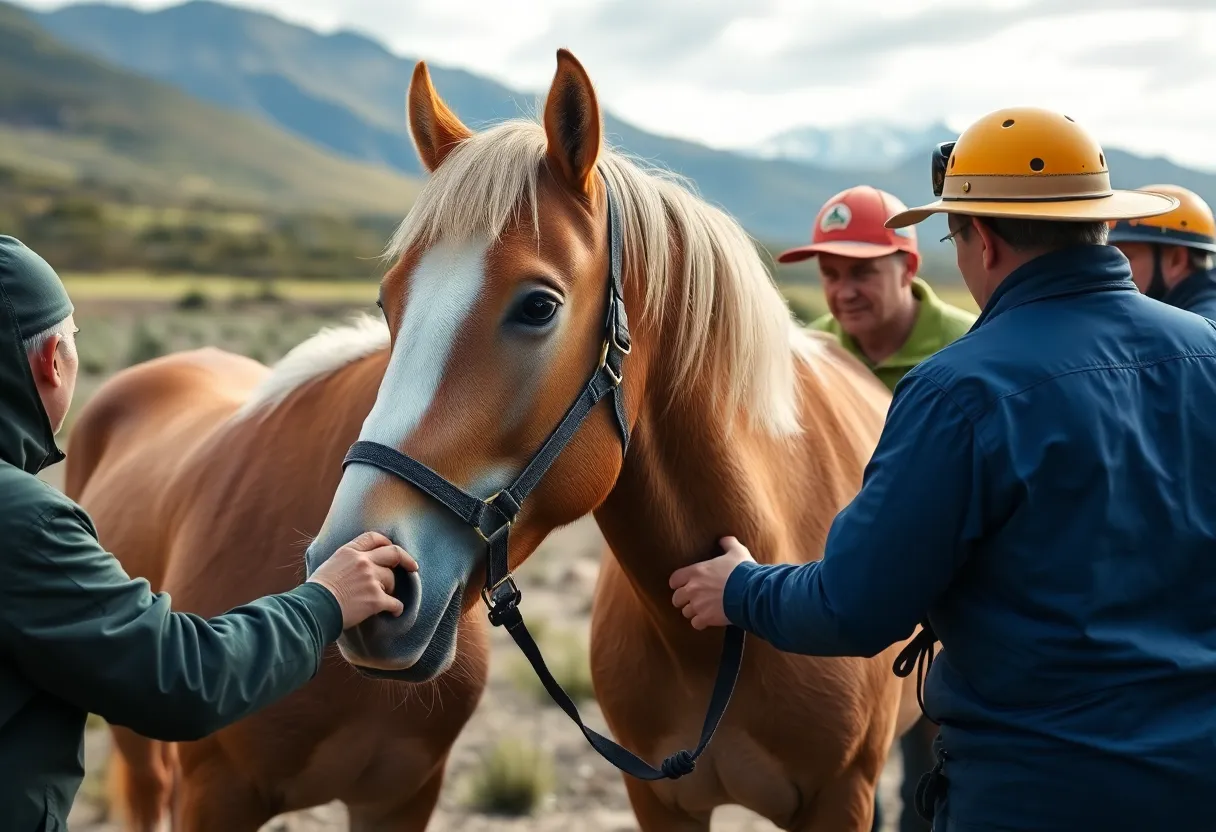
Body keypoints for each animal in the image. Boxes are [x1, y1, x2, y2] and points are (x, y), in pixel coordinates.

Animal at [300, 49, 923, 831]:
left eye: (539, 307)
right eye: (388, 303)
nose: (361, 566)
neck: (726, 629)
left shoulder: (841, 798)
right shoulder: (658, 798)